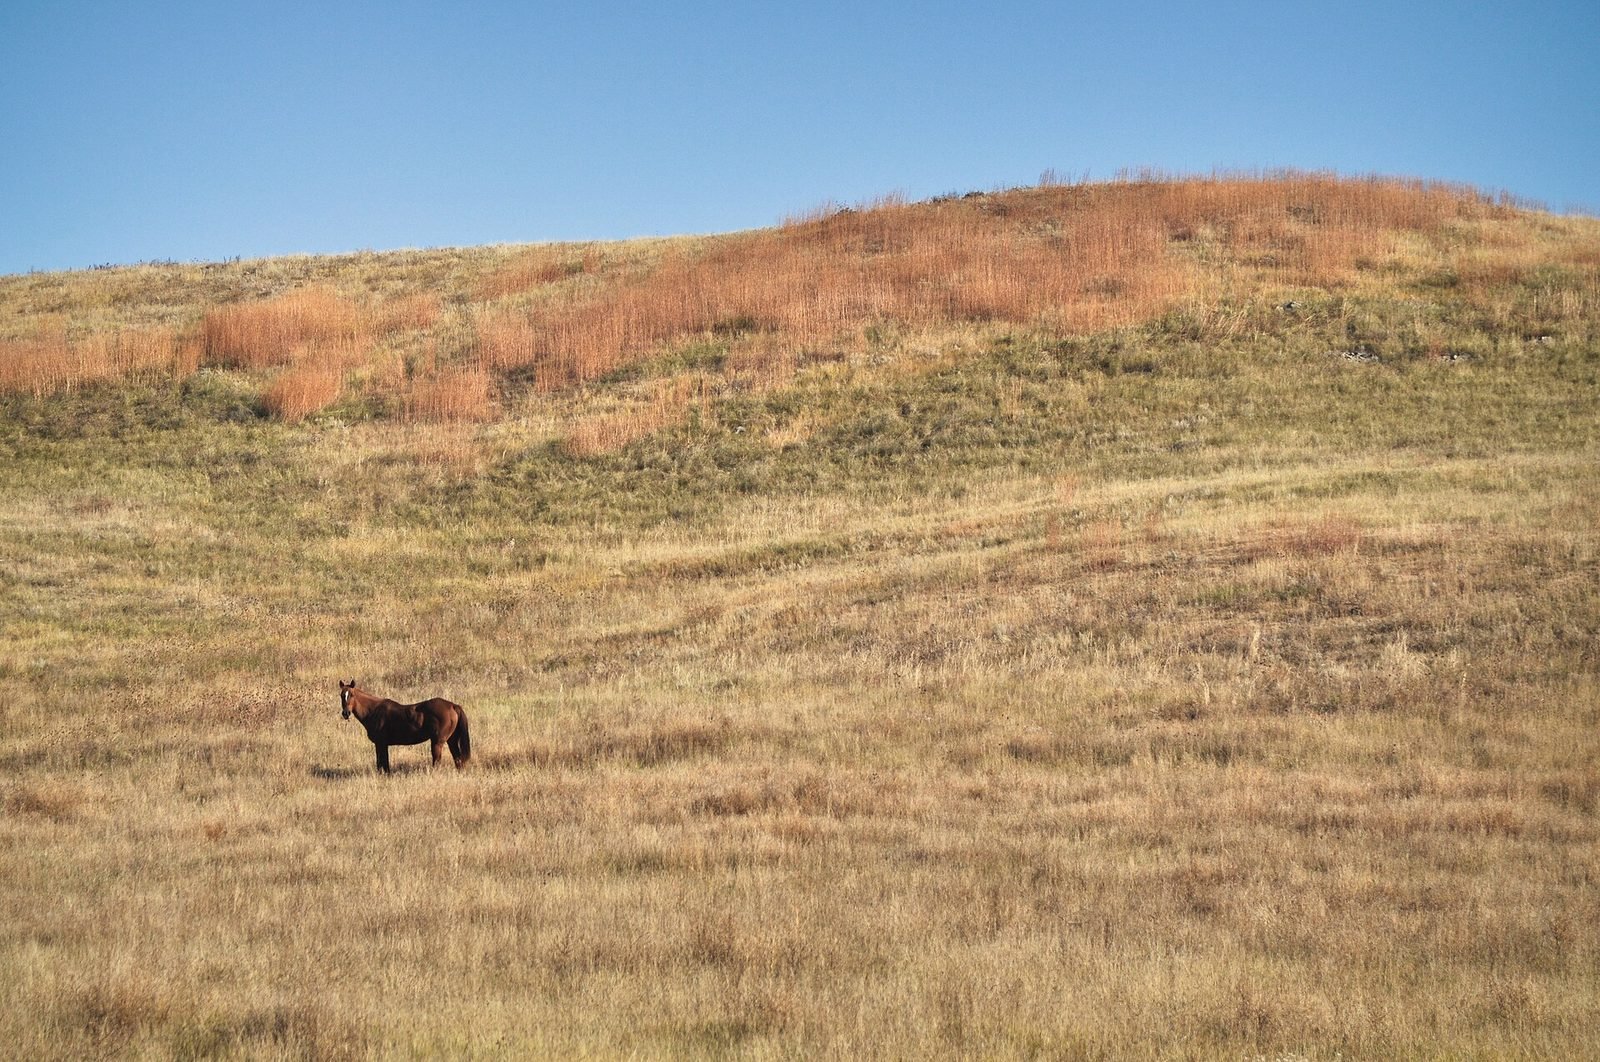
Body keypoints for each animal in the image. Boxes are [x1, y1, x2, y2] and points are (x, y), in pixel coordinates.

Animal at [338, 680, 471, 772]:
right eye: (341, 695)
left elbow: (383, 764)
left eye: (351, 694)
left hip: (437, 742)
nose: (346, 713)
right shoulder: (382, 744)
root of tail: (453, 705)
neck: (373, 710)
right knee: (458, 759)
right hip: (451, 740)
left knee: (438, 761)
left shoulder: (381, 743)